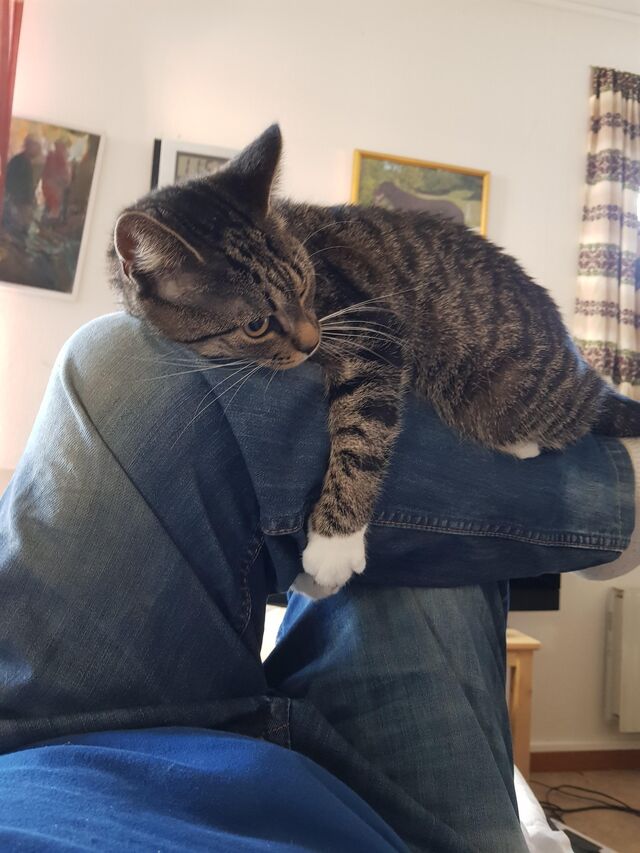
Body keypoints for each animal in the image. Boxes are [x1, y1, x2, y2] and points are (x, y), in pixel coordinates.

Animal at [109, 124, 640, 597]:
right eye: (256, 325)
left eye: (305, 284)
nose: (312, 341)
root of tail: (572, 355)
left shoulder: (375, 328)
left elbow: (363, 434)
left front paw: (335, 543)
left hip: (512, 394)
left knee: (584, 416)